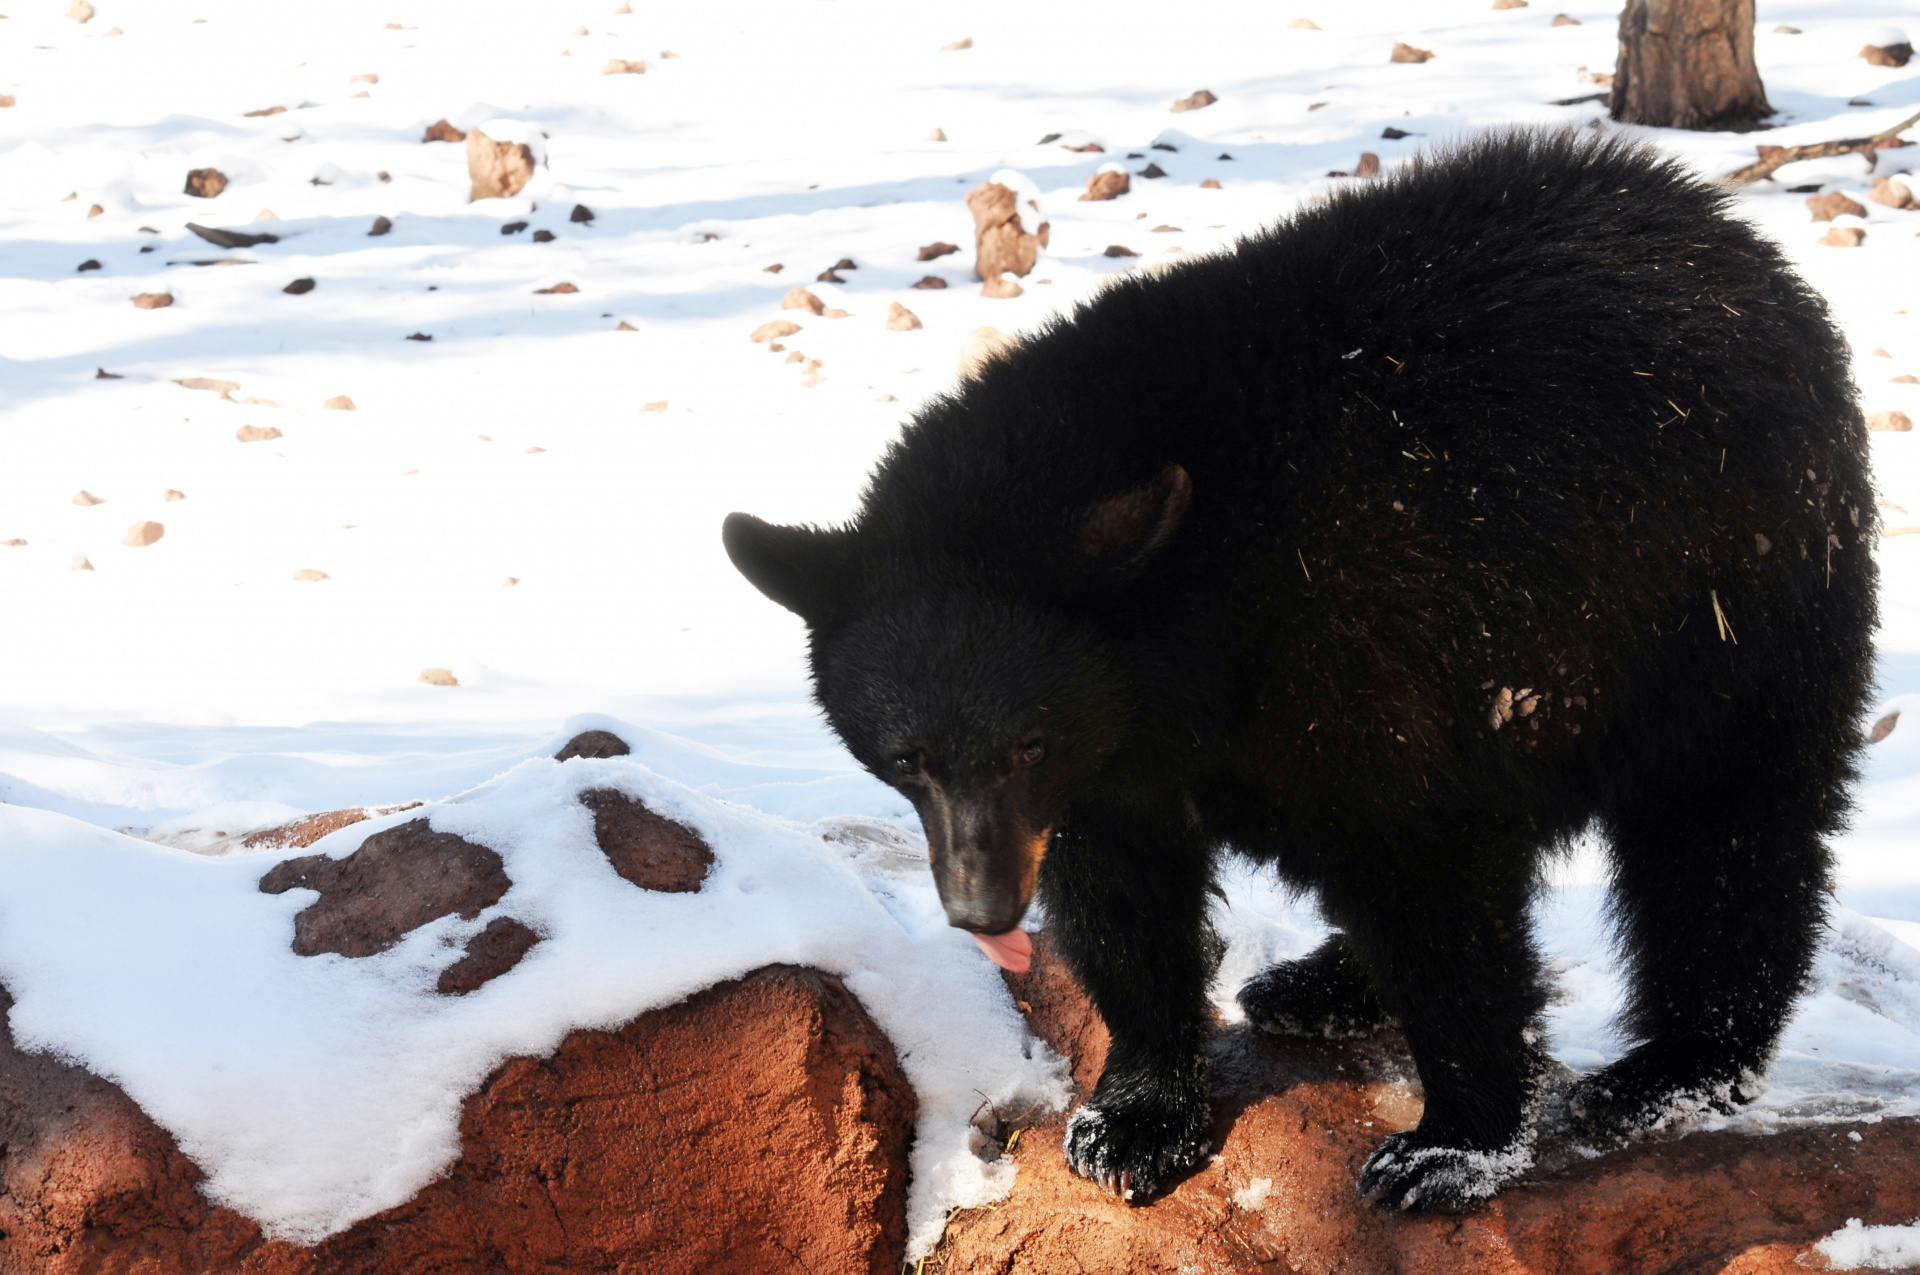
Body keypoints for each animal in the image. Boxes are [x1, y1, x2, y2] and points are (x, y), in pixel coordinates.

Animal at [721, 131, 1873, 1213]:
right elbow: (1125, 905)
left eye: (1027, 743)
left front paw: (1449, 1145)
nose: (982, 909)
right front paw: (1132, 1119)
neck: (1189, 632)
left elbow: (1428, 873)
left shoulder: (1358, 639)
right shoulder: (1111, 769)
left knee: (1724, 832)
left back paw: (1670, 1068)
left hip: (1726, 599)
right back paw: (1321, 984)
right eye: (906, 757)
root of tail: (1738, 239)